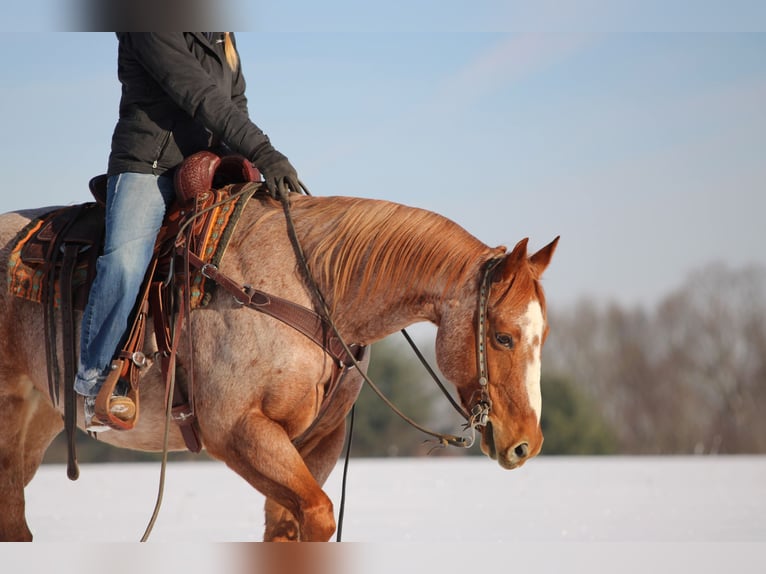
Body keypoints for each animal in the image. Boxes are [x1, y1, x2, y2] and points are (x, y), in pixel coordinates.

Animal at [0, 191, 558, 541]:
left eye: (544, 336)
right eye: (503, 336)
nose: (526, 444)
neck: (310, 292)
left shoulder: (317, 441)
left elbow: (287, 527)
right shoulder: (238, 431)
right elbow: (318, 515)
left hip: (39, 420)